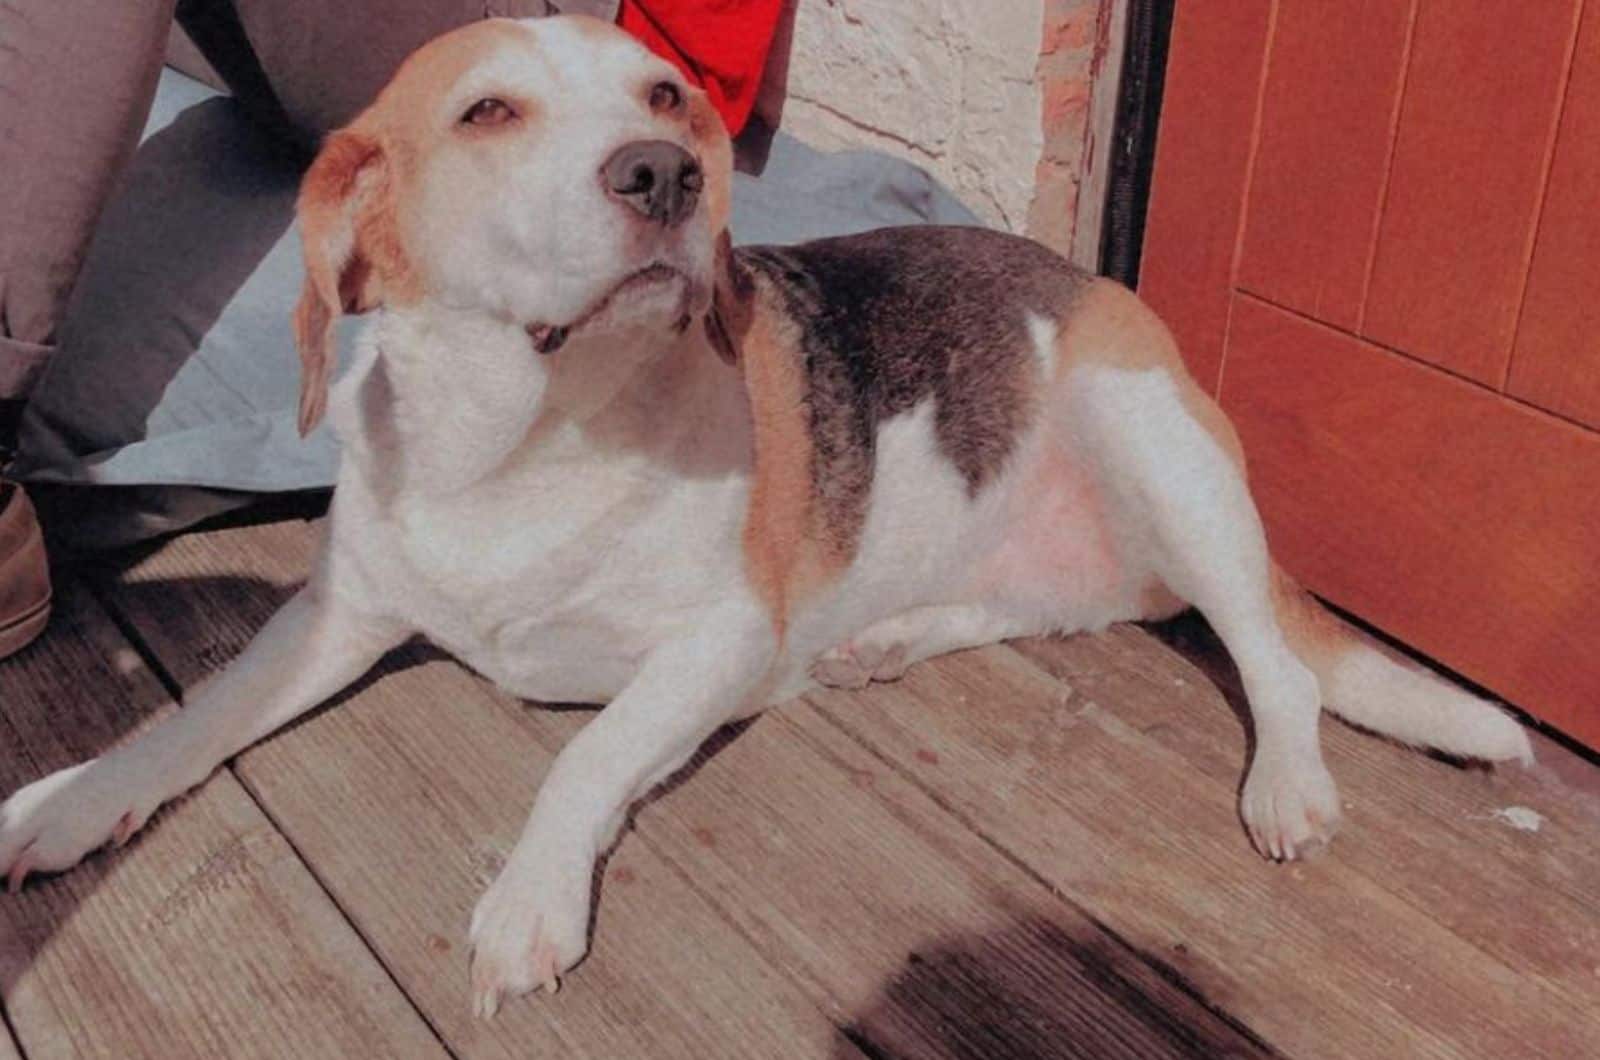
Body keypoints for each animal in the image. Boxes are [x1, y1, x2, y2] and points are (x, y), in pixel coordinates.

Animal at [0, 10, 1529, 1024]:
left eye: (666, 96)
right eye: (488, 114)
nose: (663, 174)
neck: (525, 437)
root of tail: (1088, 279)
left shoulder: (714, 644)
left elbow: (586, 756)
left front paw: (530, 899)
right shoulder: (337, 617)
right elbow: (192, 714)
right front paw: (73, 799)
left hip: (1156, 443)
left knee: (1269, 658)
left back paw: (1287, 784)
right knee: (1040, 611)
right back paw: (886, 643)